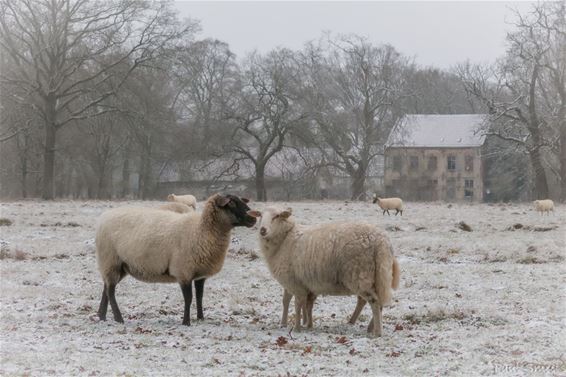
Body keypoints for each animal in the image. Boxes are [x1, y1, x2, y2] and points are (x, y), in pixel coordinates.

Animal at [251, 207, 402, 336]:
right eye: (260, 215)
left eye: (276, 216)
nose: (262, 230)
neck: (285, 239)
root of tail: (381, 240)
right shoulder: (304, 284)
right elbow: (300, 303)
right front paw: (306, 324)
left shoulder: (294, 282)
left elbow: (296, 303)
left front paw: (297, 328)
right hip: (377, 276)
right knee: (377, 301)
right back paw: (369, 326)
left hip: (359, 274)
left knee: (374, 301)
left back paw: (377, 332)